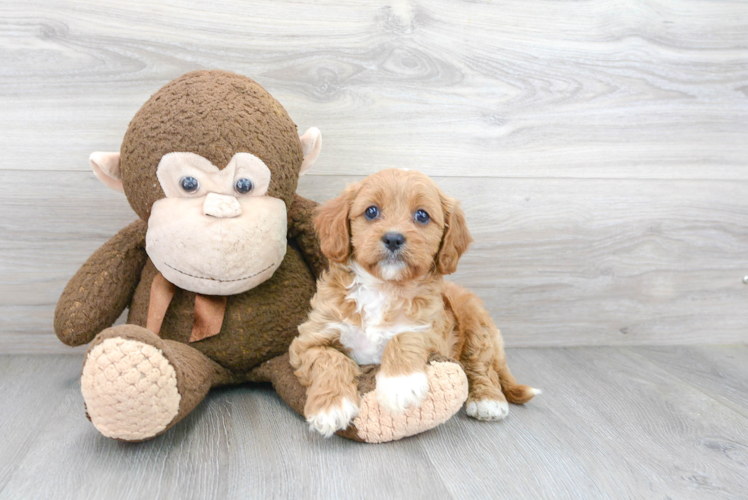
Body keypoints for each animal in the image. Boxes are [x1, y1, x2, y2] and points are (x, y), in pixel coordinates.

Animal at [290, 169, 540, 438]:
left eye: (422, 215)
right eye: (371, 211)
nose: (393, 239)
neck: (384, 287)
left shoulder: (434, 330)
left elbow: (405, 336)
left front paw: (400, 385)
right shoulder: (310, 339)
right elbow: (328, 358)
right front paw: (331, 408)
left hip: (475, 320)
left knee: (482, 366)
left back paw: (488, 400)